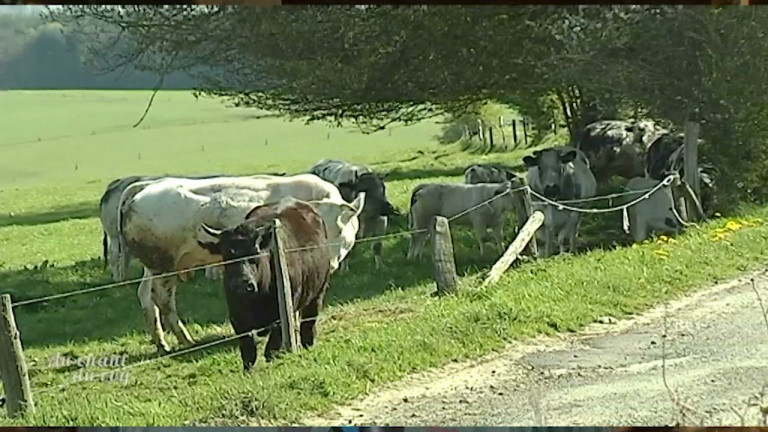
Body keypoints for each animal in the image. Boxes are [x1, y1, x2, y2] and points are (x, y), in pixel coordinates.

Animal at [119, 172, 364, 352]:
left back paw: (162, 343)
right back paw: (185, 340)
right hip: (164, 269)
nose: (328, 261)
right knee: (163, 299)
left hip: (152, 269)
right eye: (330, 228)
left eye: (341, 229)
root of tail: (144, 188)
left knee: (146, 297)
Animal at [196, 197, 332, 370]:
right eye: (226, 256)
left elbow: (270, 350)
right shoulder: (237, 318)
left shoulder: (280, 317)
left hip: (318, 293)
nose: (242, 285)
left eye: (255, 254)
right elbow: (248, 352)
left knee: (308, 325)